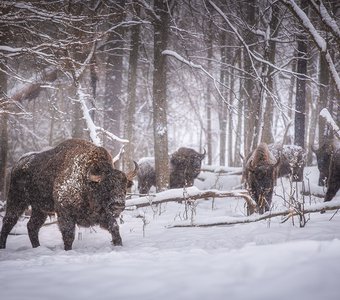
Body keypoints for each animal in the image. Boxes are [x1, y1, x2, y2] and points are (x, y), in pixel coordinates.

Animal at [0, 139, 138, 250]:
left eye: (124, 186)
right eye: (106, 186)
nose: (118, 204)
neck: (87, 183)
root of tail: (17, 165)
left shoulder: (103, 215)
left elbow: (114, 227)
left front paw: (118, 245)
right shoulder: (65, 213)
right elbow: (69, 235)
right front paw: (68, 250)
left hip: (39, 209)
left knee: (32, 226)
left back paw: (37, 247)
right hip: (17, 200)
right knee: (9, 221)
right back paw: (3, 247)